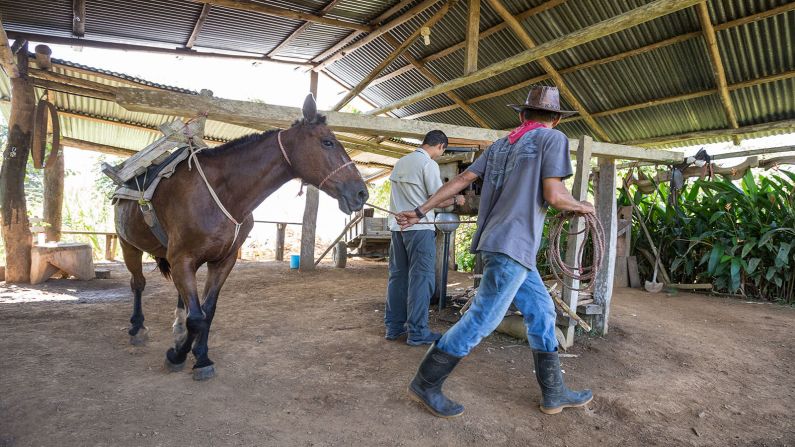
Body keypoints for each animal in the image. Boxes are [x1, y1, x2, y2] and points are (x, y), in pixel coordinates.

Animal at [114, 94, 366, 382]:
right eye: (327, 142)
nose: (361, 193)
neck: (224, 193)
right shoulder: (183, 259)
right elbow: (197, 317)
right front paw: (179, 356)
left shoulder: (222, 261)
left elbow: (207, 312)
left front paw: (198, 355)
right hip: (128, 245)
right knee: (138, 284)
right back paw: (137, 328)